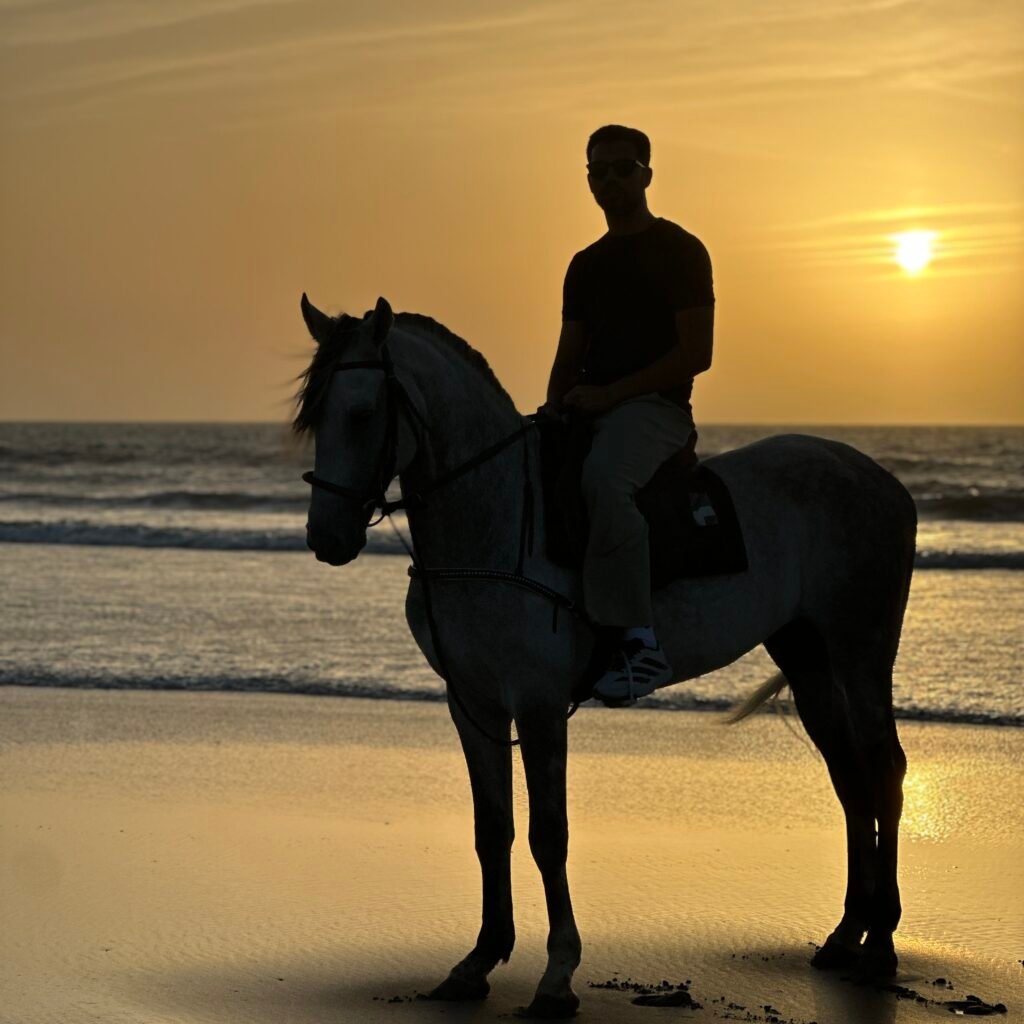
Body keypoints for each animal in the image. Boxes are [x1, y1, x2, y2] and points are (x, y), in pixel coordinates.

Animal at [295, 293, 917, 1019]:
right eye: (315, 414)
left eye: (363, 413)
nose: (326, 537)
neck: (496, 518)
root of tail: (879, 479)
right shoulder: (473, 705)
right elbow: (491, 829)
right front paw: (478, 961)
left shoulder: (537, 706)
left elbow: (548, 833)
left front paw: (557, 974)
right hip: (809, 658)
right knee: (851, 780)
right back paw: (848, 934)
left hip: (860, 652)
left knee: (885, 771)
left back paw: (882, 942)